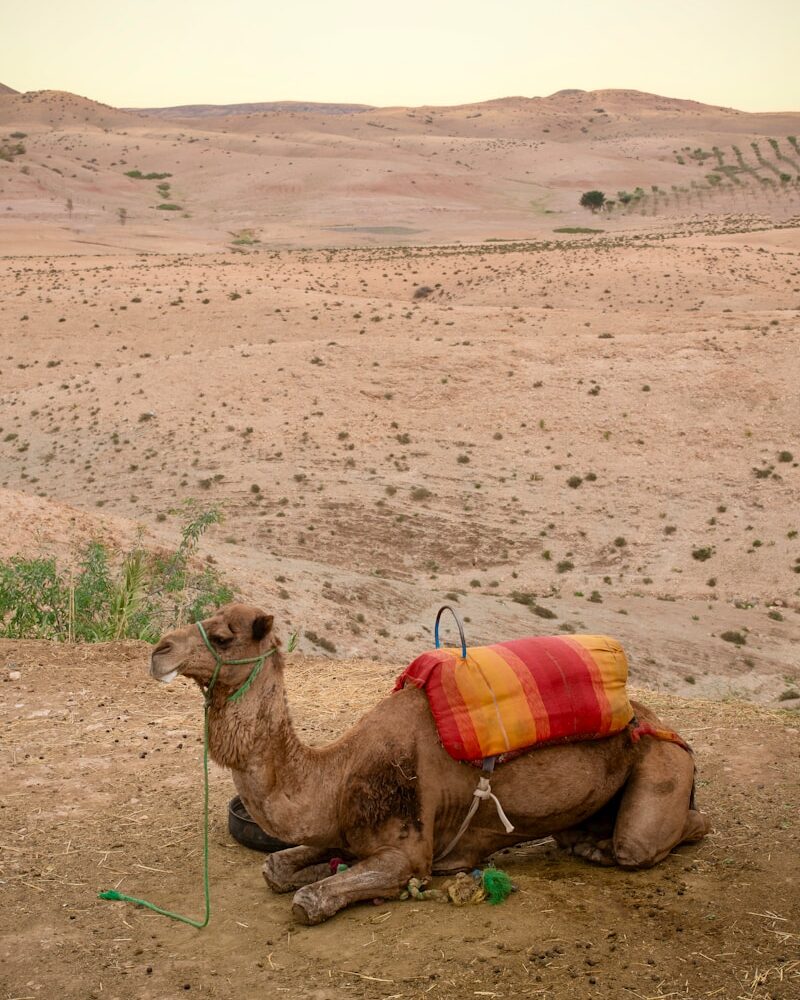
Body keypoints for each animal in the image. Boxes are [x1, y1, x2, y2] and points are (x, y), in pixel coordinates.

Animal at [150, 600, 712, 920]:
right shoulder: (339, 829)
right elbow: (274, 867)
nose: (159, 650)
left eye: (223, 636)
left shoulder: (408, 851)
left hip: (663, 762)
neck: (336, 772)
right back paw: (588, 844)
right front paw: (302, 871)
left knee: (657, 837)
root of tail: (652, 718)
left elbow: (309, 901)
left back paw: (613, 848)